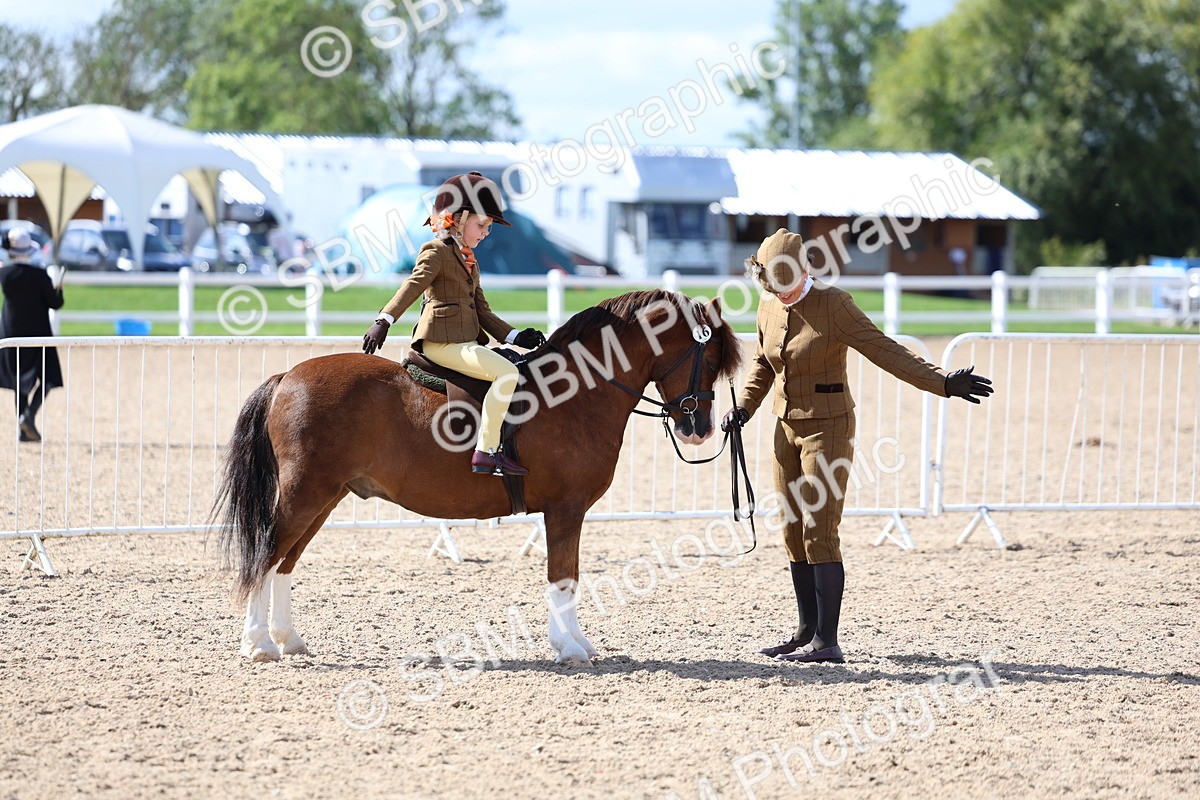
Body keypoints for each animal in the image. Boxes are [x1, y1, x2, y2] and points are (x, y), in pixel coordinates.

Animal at [211, 290, 743, 664]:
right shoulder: (566, 509)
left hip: (325, 498)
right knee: (266, 554)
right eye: (708, 360)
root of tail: (287, 377)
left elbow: (569, 577)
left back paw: (288, 639)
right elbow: (562, 577)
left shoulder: (566, 512)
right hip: (306, 494)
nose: (700, 429)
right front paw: (569, 648)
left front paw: (579, 643)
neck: (577, 389)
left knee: (285, 562)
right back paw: (258, 645)